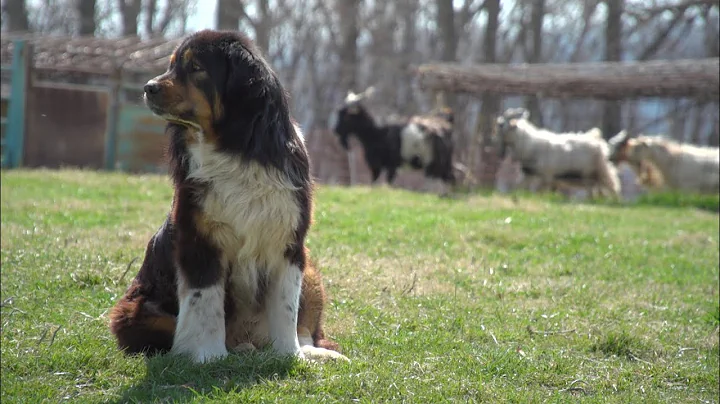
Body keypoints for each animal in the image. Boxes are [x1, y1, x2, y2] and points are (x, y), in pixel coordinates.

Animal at [108, 30, 350, 364]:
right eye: (172, 65)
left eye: (195, 67)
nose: (148, 87)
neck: (235, 150)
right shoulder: (201, 242)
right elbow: (206, 304)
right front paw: (208, 357)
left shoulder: (288, 244)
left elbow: (286, 308)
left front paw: (290, 356)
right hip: (134, 310)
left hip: (310, 269)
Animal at [492, 106, 620, 196]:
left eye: (502, 124)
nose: (498, 123)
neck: (530, 143)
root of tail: (597, 140)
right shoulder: (529, 174)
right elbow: (519, 188)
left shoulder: (546, 176)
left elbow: (539, 192)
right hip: (591, 175)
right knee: (596, 190)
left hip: (596, 171)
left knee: (608, 187)